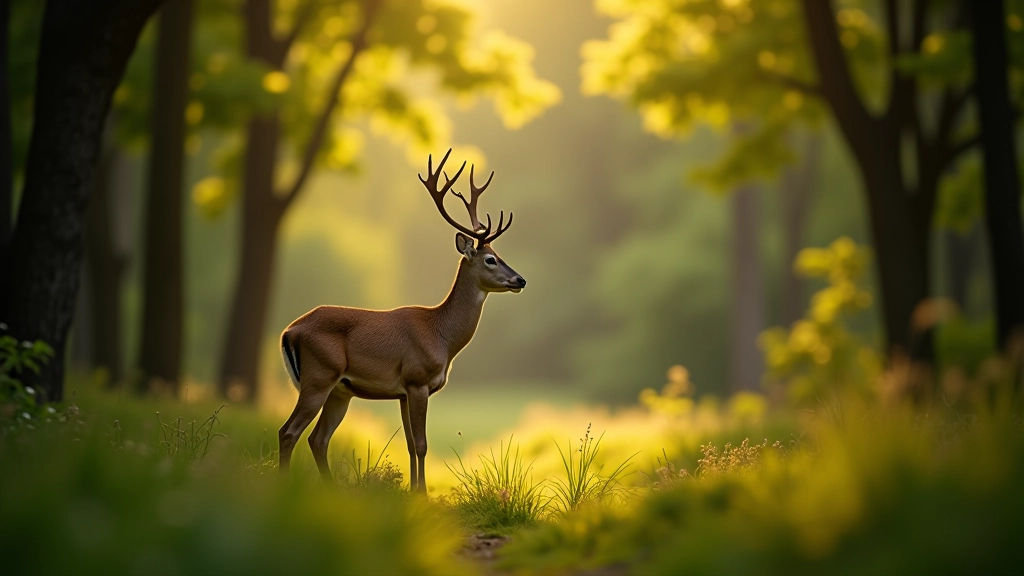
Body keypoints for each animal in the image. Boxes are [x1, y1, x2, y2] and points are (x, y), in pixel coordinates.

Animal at [277, 149, 525, 492]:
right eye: (491, 259)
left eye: (500, 254)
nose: (520, 280)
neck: (441, 335)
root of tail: (289, 331)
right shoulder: (417, 379)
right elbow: (421, 444)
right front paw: (422, 493)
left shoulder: (403, 392)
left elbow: (409, 444)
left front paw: (413, 490)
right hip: (318, 376)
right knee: (288, 432)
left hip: (340, 390)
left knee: (318, 439)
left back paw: (331, 489)